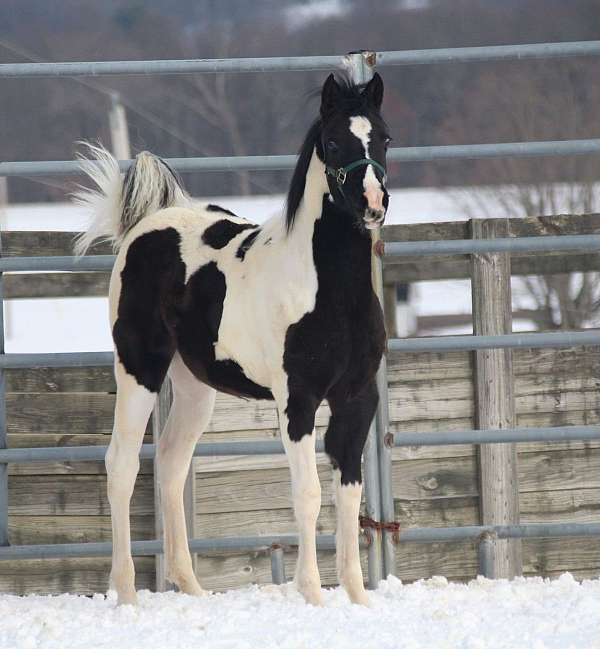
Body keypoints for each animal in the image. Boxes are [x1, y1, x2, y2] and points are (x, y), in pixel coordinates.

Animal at [75, 72, 392, 608]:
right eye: (333, 142)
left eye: (384, 138)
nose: (372, 203)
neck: (327, 289)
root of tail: (145, 226)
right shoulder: (298, 400)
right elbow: (308, 493)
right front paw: (312, 594)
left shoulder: (357, 397)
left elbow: (348, 491)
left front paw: (357, 598)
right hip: (139, 369)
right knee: (121, 465)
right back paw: (128, 594)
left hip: (194, 387)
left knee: (171, 464)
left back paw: (191, 586)